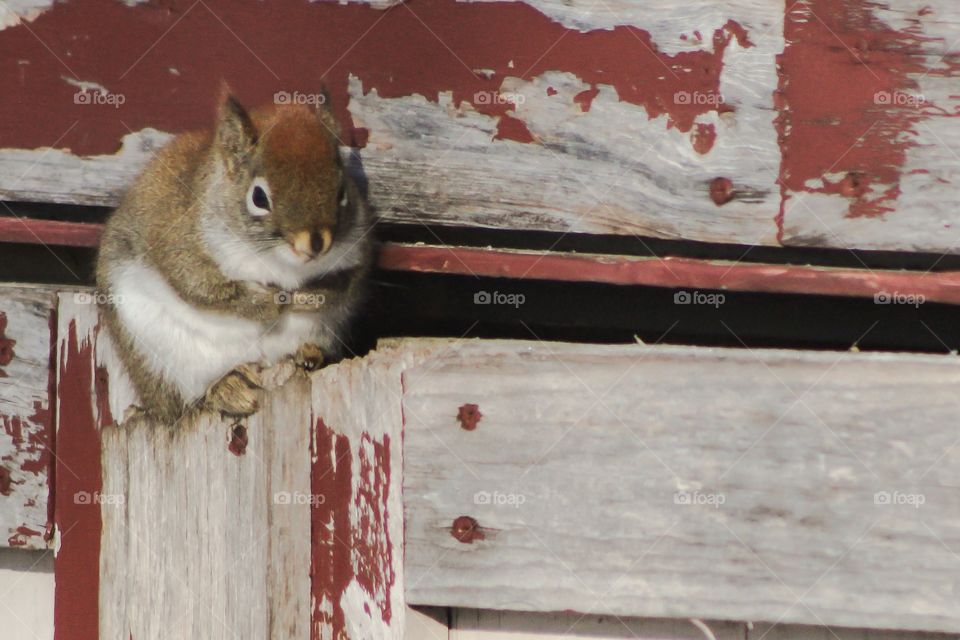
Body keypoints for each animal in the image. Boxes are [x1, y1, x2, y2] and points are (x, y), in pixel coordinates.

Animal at [96, 88, 373, 424]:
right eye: (258, 197)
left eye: (342, 191)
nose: (315, 244)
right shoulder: (176, 238)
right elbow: (199, 286)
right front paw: (267, 302)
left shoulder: (358, 248)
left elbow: (347, 283)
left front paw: (309, 296)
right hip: (154, 351)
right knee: (183, 402)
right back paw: (226, 389)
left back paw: (310, 355)